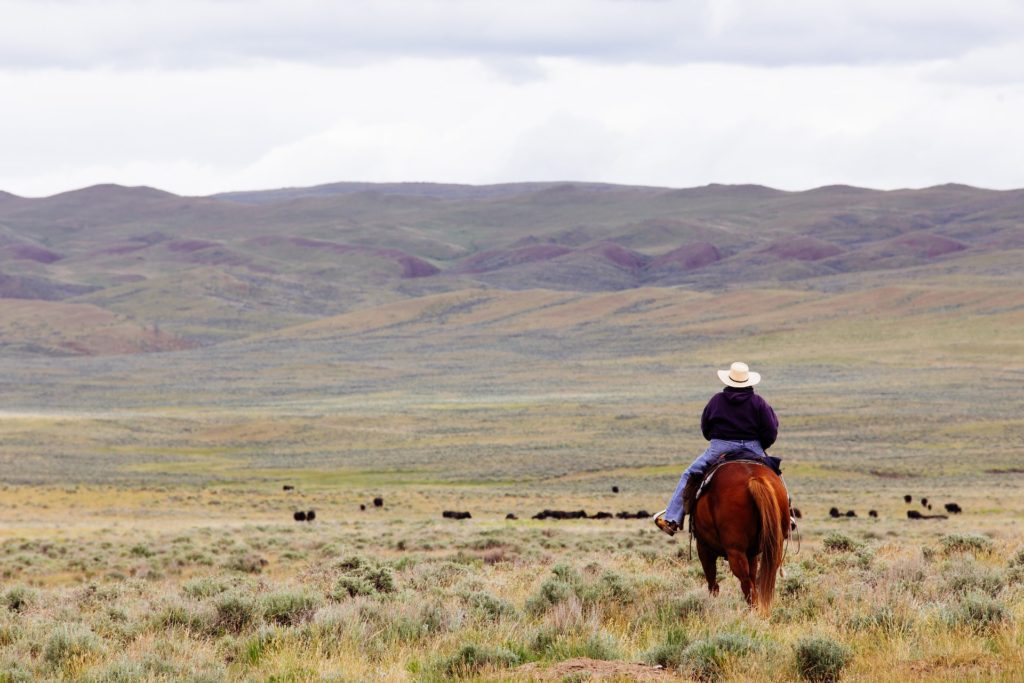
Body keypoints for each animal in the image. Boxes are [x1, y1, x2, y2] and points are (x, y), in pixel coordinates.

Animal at [692, 458, 786, 614]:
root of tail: (754, 478)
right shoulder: (752, 553)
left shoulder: (704, 547)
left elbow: (711, 579)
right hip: (774, 546)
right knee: (761, 578)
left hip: (735, 552)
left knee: (746, 583)